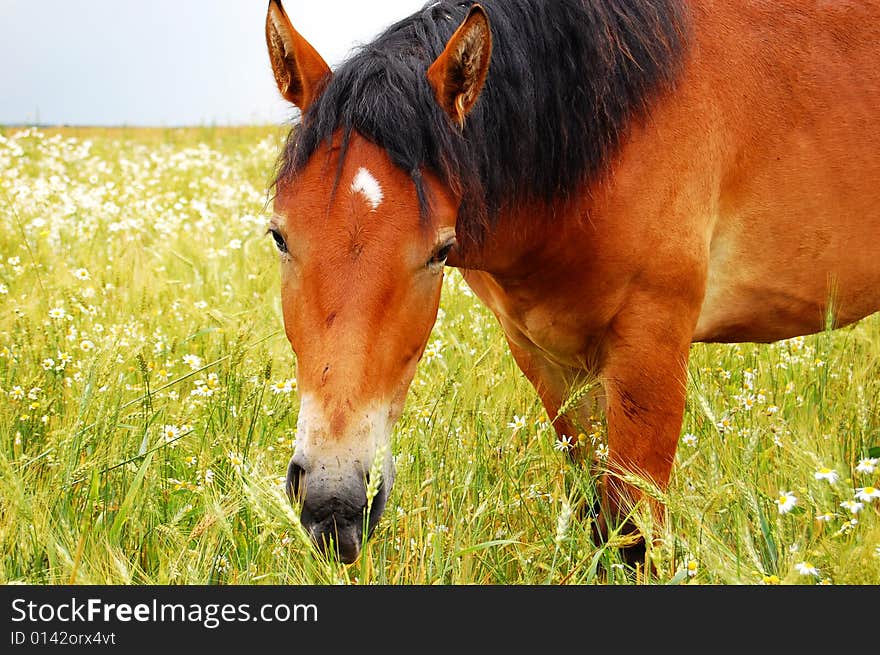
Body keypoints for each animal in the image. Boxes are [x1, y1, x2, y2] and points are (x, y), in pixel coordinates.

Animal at [262, 0, 880, 564]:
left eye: (440, 251)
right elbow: (598, 520)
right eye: (279, 236)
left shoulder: (650, 351)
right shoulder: (549, 360)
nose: (335, 502)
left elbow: (636, 535)